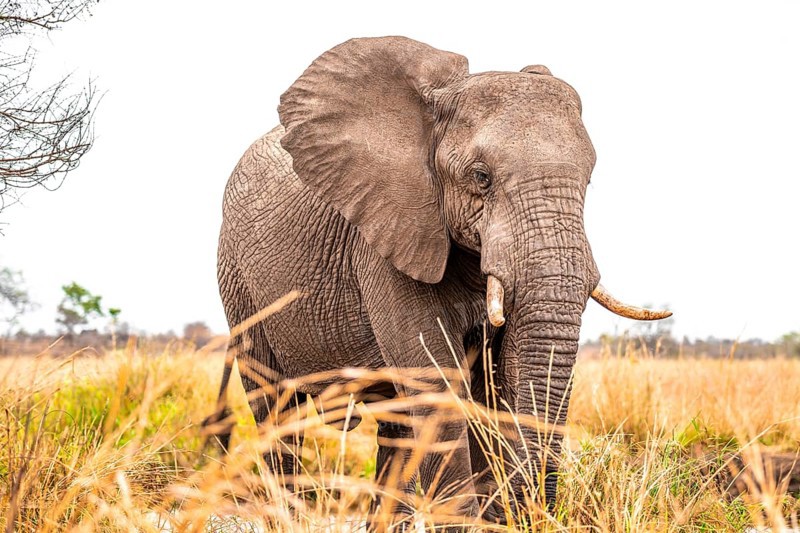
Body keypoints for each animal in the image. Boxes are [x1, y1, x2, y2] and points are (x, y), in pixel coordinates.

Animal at [207, 36, 670, 526]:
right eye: (481, 178)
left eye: (589, 180)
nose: (530, 512)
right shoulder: (387, 235)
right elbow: (438, 385)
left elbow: (497, 383)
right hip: (237, 278)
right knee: (274, 409)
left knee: (394, 425)